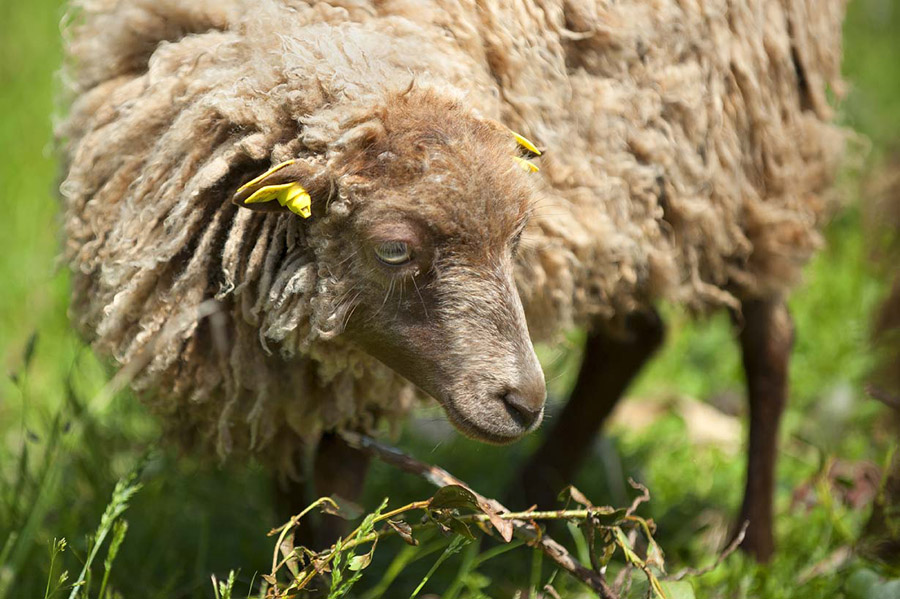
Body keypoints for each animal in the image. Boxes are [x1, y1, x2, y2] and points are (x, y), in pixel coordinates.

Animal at [59, 0, 848, 564]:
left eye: (518, 238)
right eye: (394, 248)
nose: (524, 401)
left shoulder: (356, 371)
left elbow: (334, 501)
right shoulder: (290, 369)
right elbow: (293, 496)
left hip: (750, 160)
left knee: (769, 343)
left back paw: (752, 549)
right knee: (636, 336)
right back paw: (532, 499)